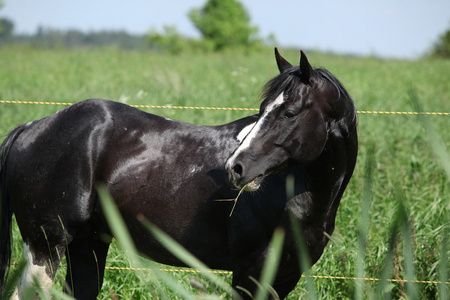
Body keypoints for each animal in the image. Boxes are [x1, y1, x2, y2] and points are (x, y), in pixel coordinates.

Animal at [0, 48, 358, 298]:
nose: (236, 167)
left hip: (86, 245)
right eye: (262, 110)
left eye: (290, 112)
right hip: (46, 248)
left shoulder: (285, 278)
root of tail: (29, 128)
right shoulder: (249, 273)